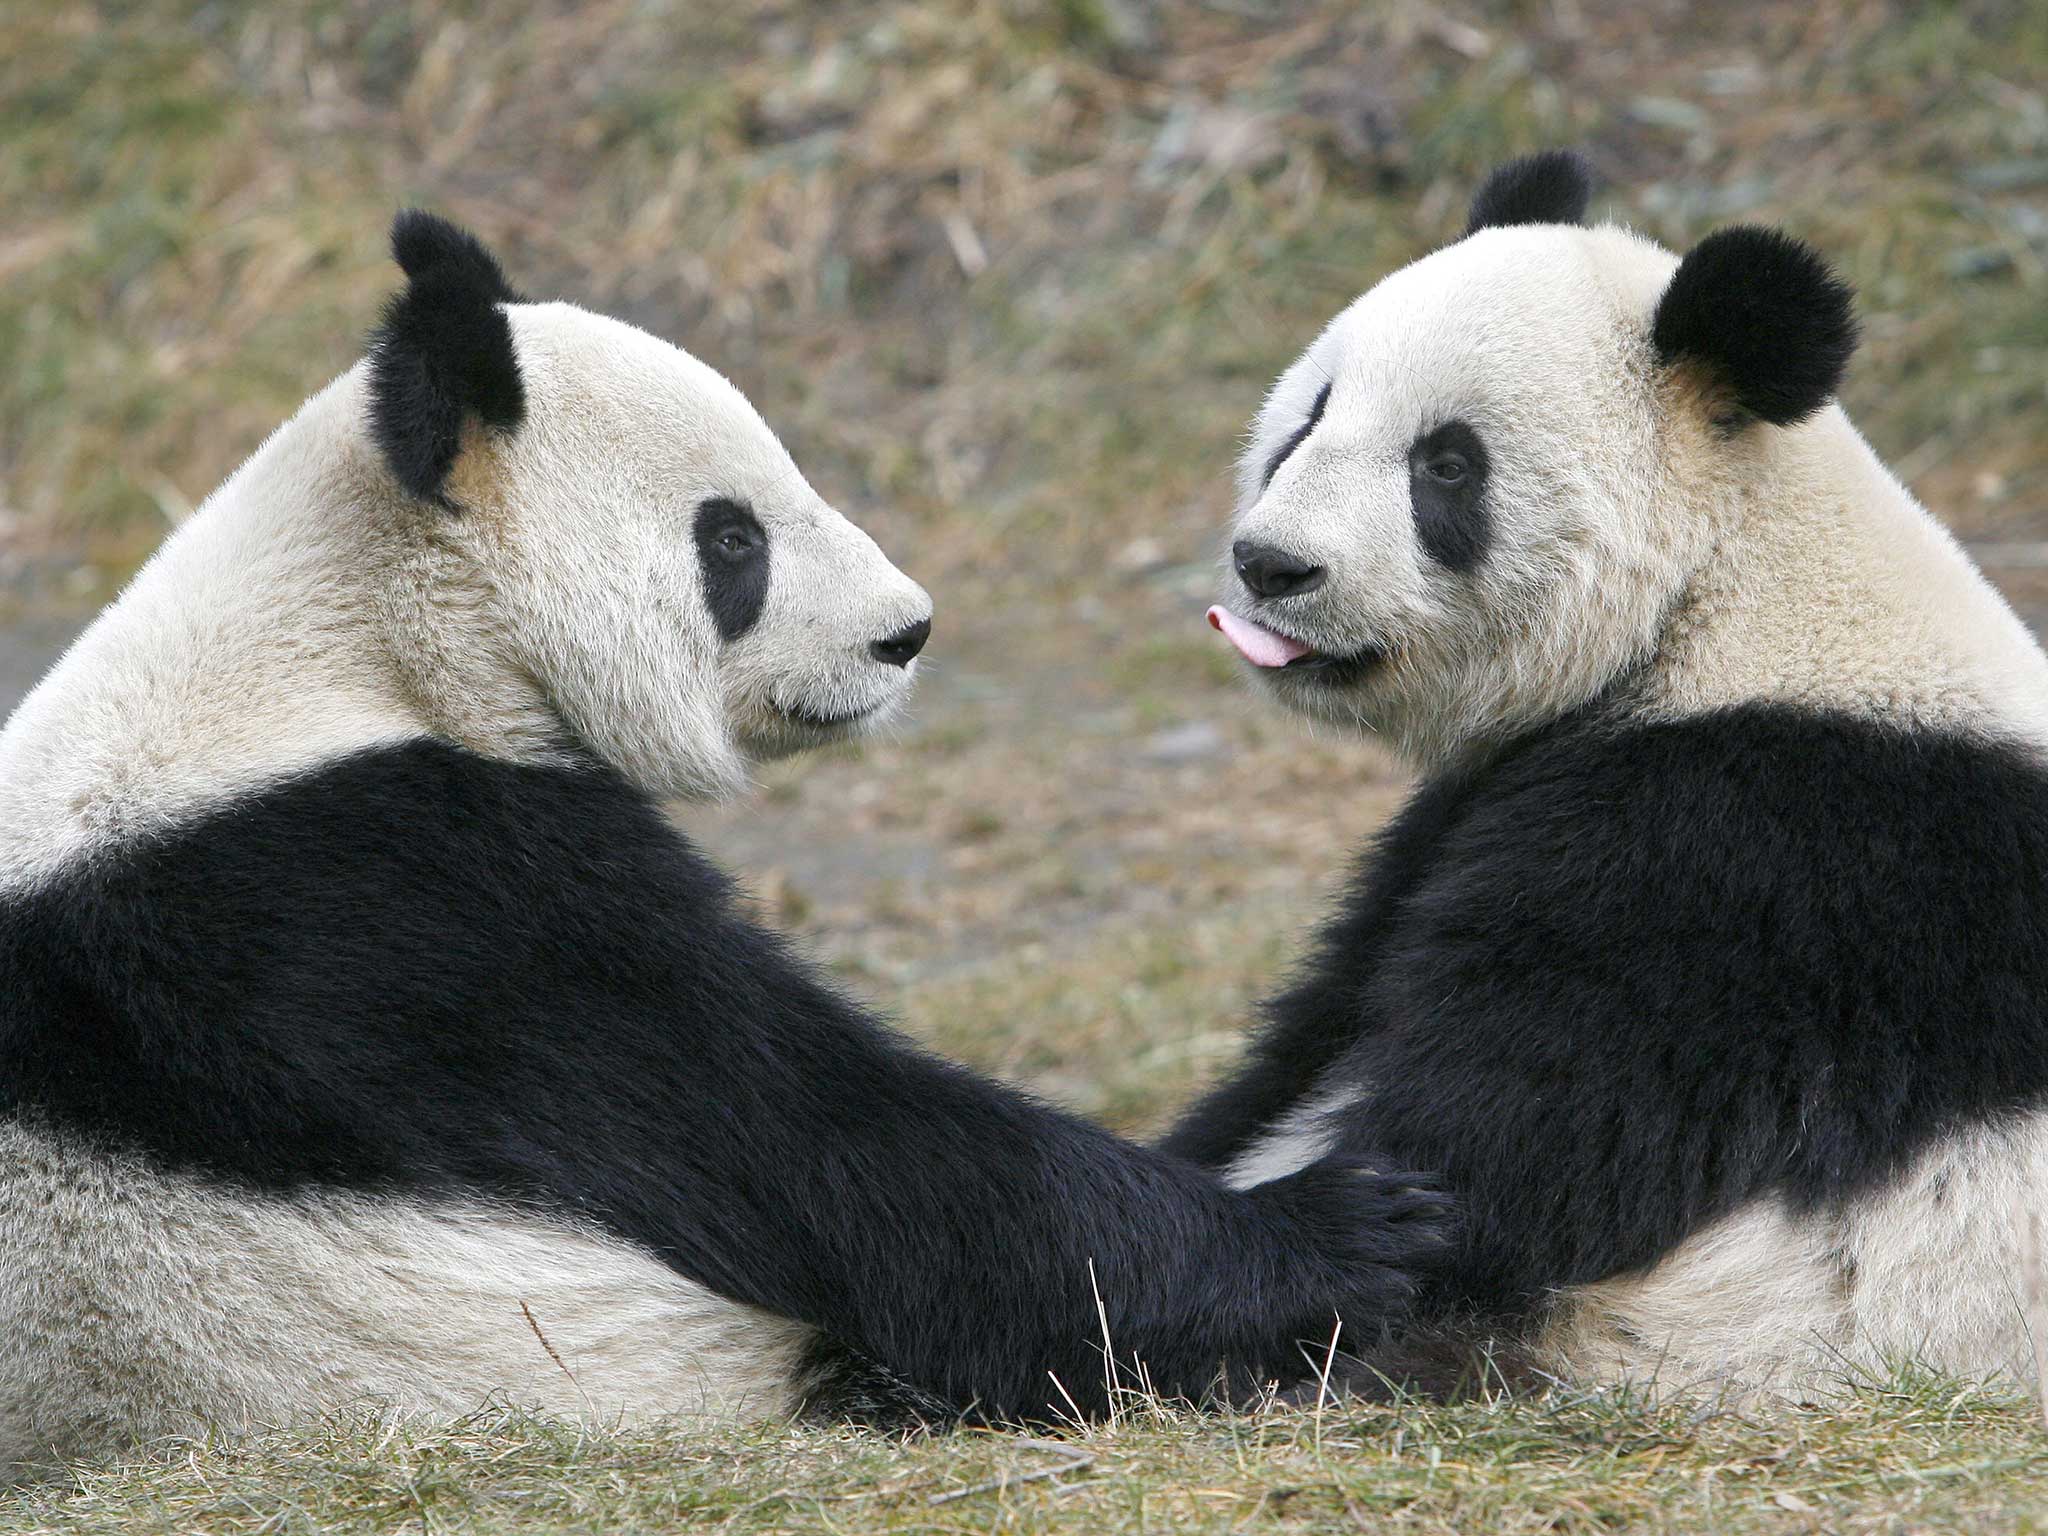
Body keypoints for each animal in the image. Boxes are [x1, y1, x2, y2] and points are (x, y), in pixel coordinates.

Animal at [0, 210, 1458, 1474]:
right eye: (732, 539)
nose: (904, 633)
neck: (356, 638)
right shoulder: (400, 901)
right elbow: (835, 1149)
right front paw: (1339, 1224)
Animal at [1179, 156, 2048, 1409]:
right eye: (1310, 414)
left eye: (1446, 464)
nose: (1272, 565)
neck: (1725, 590)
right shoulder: (1471, 813)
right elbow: (1317, 1040)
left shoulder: (1757, 862)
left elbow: (1515, 1133)